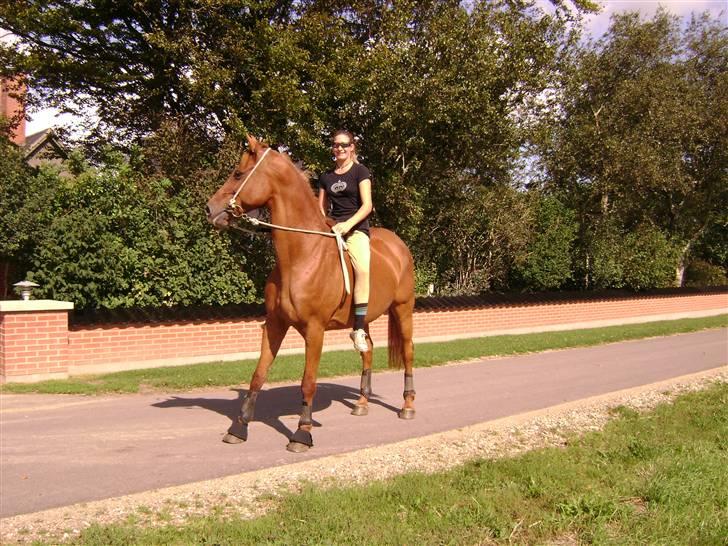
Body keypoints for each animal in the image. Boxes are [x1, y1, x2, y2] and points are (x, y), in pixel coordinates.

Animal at [205, 135, 416, 450]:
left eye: (238, 173)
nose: (210, 208)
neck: (302, 254)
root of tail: (399, 245)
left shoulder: (314, 331)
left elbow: (308, 381)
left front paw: (302, 432)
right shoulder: (275, 325)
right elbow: (258, 375)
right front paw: (239, 427)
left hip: (403, 309)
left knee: (408, 351)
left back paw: (408, 406)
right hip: (364, 320)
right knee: (367, 350)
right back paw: (362, 403)